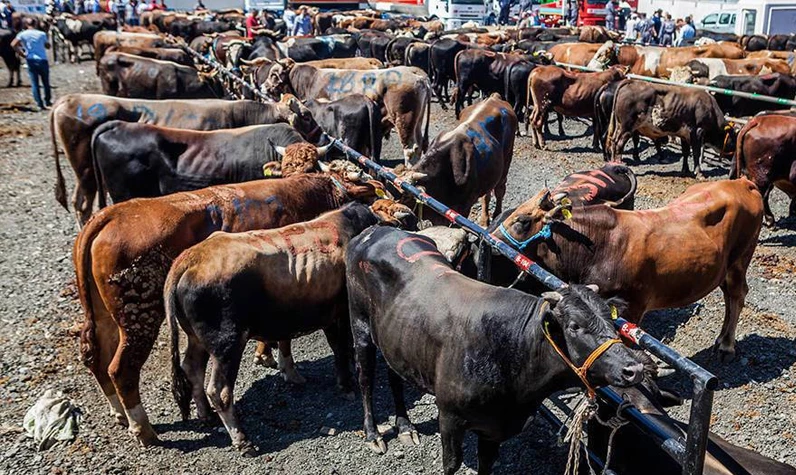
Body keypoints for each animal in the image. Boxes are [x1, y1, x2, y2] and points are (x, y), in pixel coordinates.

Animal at [74, 174, 386, 446]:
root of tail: (108, 215)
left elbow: (285, 336)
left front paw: (287, 369)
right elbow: (328, 344)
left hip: (112, 318)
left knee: (107, 359)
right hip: (152, 320)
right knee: (127, 370)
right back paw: (152, 431)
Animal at [346, 227, 644, 475]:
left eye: (611, 319)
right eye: (574, 326)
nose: (634, 368)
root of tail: (373, 231)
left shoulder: (493, 430)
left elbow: (486, 465)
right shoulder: (450, 418)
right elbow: (451, 464)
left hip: (396, 339)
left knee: (394, 375)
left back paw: (406, 426)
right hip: (360, 326)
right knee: (364, 378)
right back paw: (373, 434)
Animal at [488, 180, 760, 362]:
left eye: (522, 221)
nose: (490, 237)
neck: (602, 244)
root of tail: (742, 182)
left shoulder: (632, 308)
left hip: (741, 258)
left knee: (737, 295)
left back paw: (726, 345)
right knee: (728, 295)